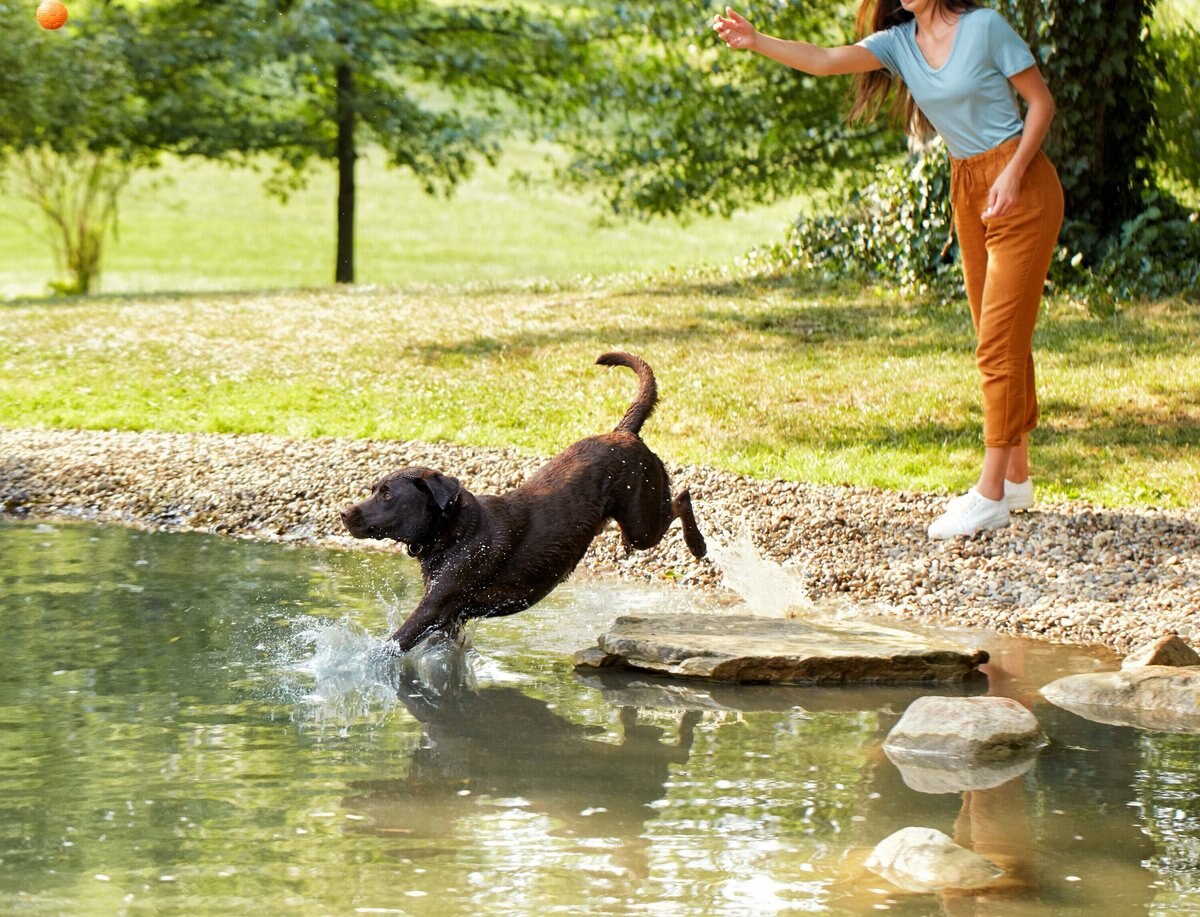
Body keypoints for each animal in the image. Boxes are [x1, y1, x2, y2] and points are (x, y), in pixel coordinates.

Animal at [338, 350, 705, 652]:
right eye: (374, 489)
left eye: (387, 495)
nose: (343, 512)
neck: (454, 531)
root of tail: (625, 431)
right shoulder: (450, 617)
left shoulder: (435, 606)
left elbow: (391, 645)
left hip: (641, 520)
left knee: (681, 499)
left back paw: (698, 544)